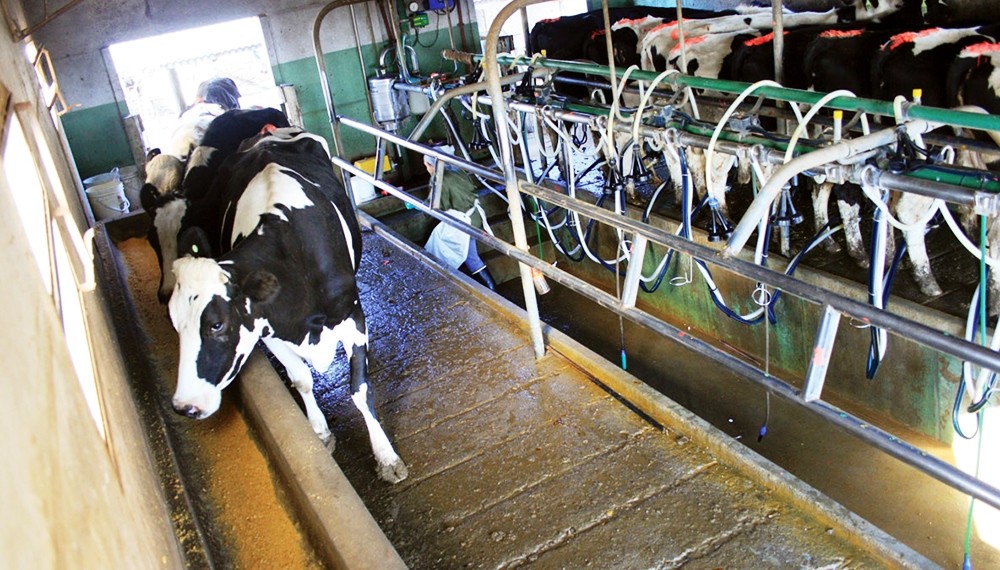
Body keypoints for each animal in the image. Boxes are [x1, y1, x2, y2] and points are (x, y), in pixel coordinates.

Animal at [170, 127, 408, 480]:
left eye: (216, 324)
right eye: (174, 322)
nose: (184, 406)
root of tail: (268, 136)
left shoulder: (352, 315)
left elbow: (359, 389)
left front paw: (386, 456)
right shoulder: (268, 330)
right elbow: (301, 379)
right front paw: (320, 432)